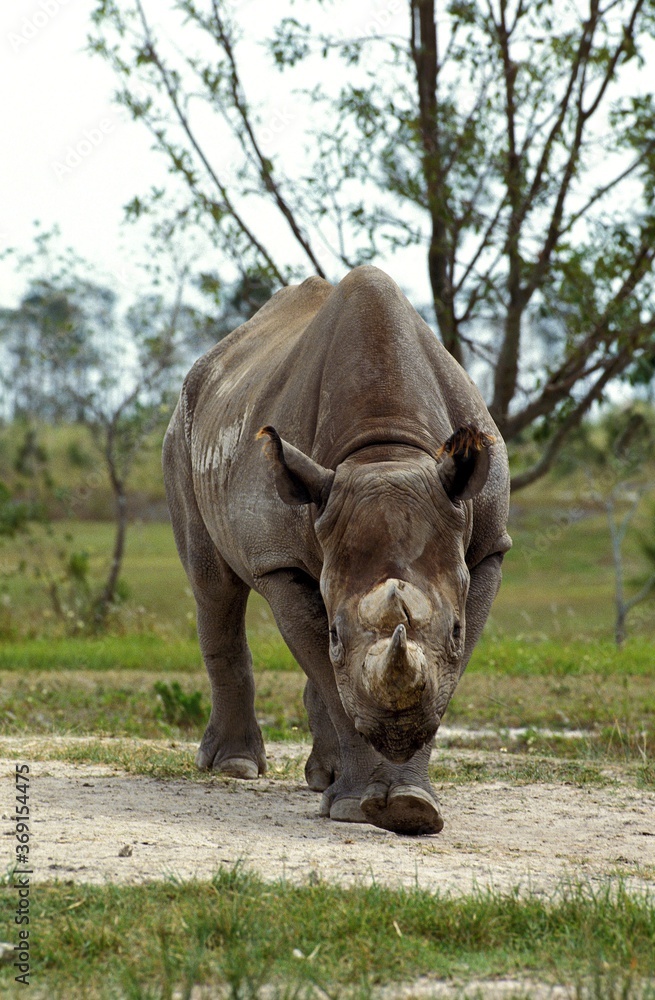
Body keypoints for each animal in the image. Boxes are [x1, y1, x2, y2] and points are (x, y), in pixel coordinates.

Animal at [163, 266, 511, 835]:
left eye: (457, 631)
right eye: (334, 636)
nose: (396, 734)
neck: (385, 455)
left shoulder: (486, 548)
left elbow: (445, 676)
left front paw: (411, 807)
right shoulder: (278, 559)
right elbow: (327, 667)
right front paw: (365, 808)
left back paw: (322, 777)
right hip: (186, 423)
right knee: (214, 589)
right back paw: (234, 767)